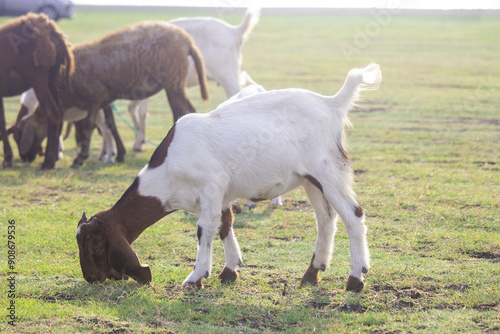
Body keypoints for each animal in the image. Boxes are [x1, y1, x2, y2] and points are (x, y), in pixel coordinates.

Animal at [0, 12, 73, 170]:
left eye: (18, 135)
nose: (26, 157)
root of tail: (54, 32)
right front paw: (8, 158)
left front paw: (7, 159)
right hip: (53, 77)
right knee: (59, 112)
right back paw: (53, 158)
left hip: (38, 78)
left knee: (53, 112)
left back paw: (47, 162)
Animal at [15, 19, 207, 168]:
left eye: (20, 135)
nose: (25, 158)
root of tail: (187, 42)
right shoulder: (105, 100)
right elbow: (111, 125)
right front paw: (120, 155)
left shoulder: (94, 99)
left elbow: (89, 127)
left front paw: (79, 159)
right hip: (176, 83)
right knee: (188, 110)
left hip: (173, 82)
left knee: (180, 111)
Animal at [76, 63, 380, 292]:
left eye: (97, 248)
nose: (91, 278)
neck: (169, 165)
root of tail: (331, 103)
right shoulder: (219, 195)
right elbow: (224, 225)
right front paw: (229, 271)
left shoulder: (211, 186)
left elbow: (205, 228)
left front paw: (196, 277)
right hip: (311, 180)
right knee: (326, 219)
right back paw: (312, 274)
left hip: (328, 171)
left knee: (353, 215)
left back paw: (355, 279)